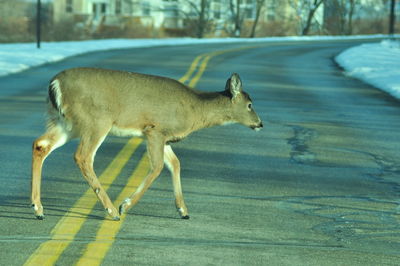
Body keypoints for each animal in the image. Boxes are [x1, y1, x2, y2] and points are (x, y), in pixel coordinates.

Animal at [31, 67, 262, 220]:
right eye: (250, 104)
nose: (260, 123)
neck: (196, 109)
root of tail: (55, 84)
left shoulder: (165, 137)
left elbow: (175, 164)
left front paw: (183, 210)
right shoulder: (155, 130)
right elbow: (158, 167)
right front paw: (125, 206)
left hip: (66, 123)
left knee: (40, 144)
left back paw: (38, 208)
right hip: (96, 121)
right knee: (83, 157)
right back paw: (112, 210)